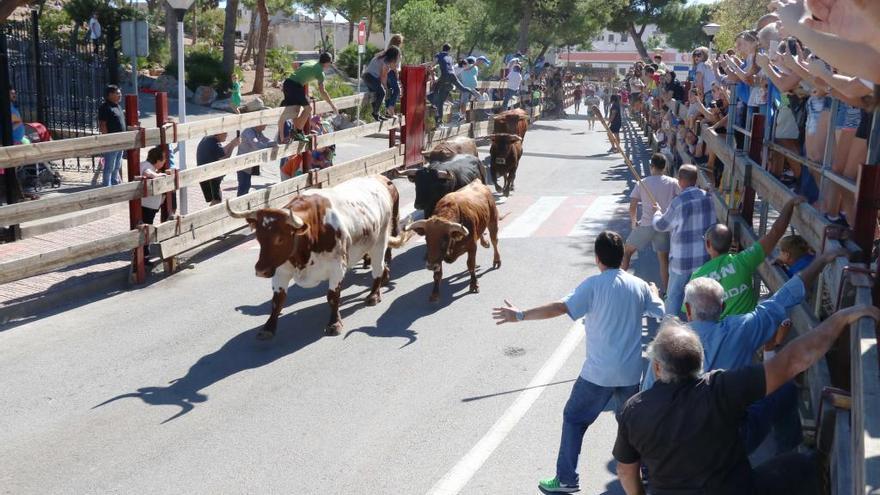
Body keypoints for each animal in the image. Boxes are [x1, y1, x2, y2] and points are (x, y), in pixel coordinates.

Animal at [225, 175, 408, 340]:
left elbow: (333, 297)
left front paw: (334, 324)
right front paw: (268, 327)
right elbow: (277, 300)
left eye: (280, 238)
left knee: (378, 268)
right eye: (258, 237)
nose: (260, 270)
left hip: (380, 241)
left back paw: (374, 295)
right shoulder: (281, 270)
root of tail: (379, 180)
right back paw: (385, 277)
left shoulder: (337, 267)